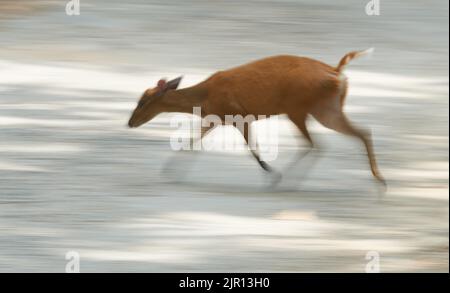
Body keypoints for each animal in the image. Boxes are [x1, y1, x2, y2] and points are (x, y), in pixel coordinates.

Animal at [127, 49, 386, 187]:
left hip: (301, 108)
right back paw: (379, 177)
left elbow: (252, 149)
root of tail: (337, 73)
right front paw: (171, 172)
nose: (130, 122)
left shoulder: (239, 114)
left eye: (143, 101)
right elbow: (193, 141)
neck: (204, 97)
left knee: (315, 143)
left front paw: (272, 172)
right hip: (324, 108)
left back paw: (286, 180)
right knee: (356, 134)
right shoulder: (215, 117)